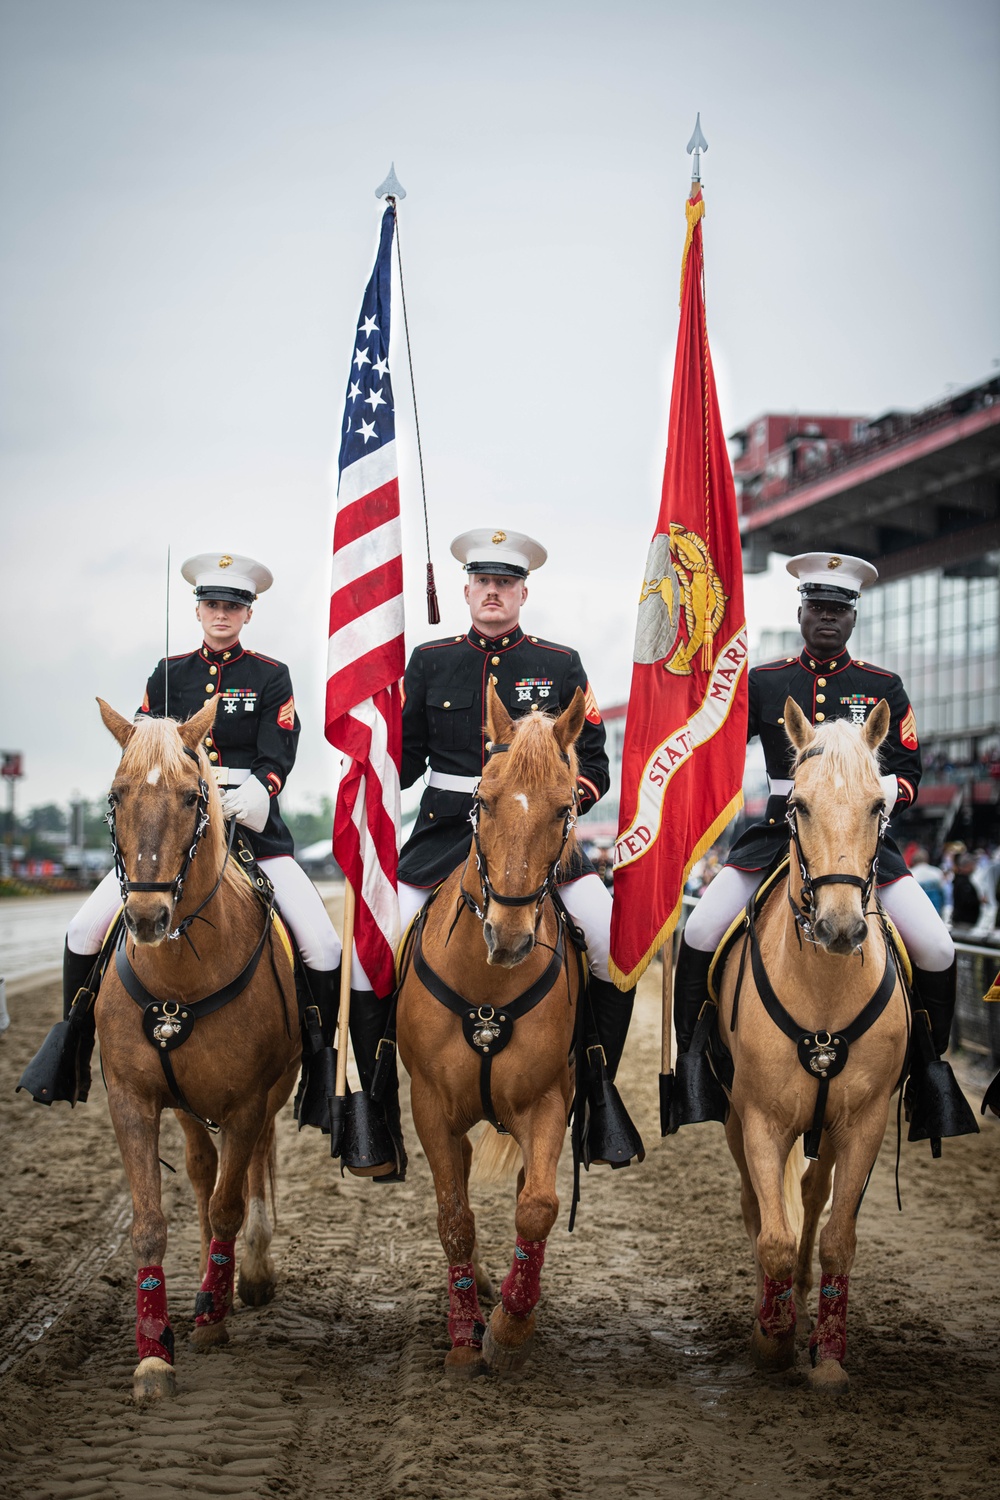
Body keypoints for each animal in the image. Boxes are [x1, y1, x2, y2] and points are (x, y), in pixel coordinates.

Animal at [95, 696, 299, 1398]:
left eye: (191, 796)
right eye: (116, 794)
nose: (147, 918)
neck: (181, 977)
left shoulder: (245, 1103)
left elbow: (231, 1203)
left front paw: (213, 1315)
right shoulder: (132, 1100)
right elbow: (151, 1223)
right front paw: (154, 1351)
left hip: (269, 1095)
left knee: (251, 1166)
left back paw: (246, 1274)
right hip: (187, 1106)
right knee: (202, 1169)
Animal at [395, 687, 587, 1374]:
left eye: (565, 807)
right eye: (483, 800)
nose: (507, 936)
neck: (487, 987)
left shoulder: (547, 1099)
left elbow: (538, 1205)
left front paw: (509, 1325)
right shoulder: (429, 1104)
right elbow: (453, 1216)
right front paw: (461, 1338)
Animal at [710, 696, 917, 1386]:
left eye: (878, 806)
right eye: (797, 803)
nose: (840, 928)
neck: (824, 989)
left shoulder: (864, 1121)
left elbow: (838, 1238)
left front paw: (826, 1356)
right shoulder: (760, 1117)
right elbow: (770, 1234)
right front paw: (770, 1340)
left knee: (812, 1194)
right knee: (758, 1205)